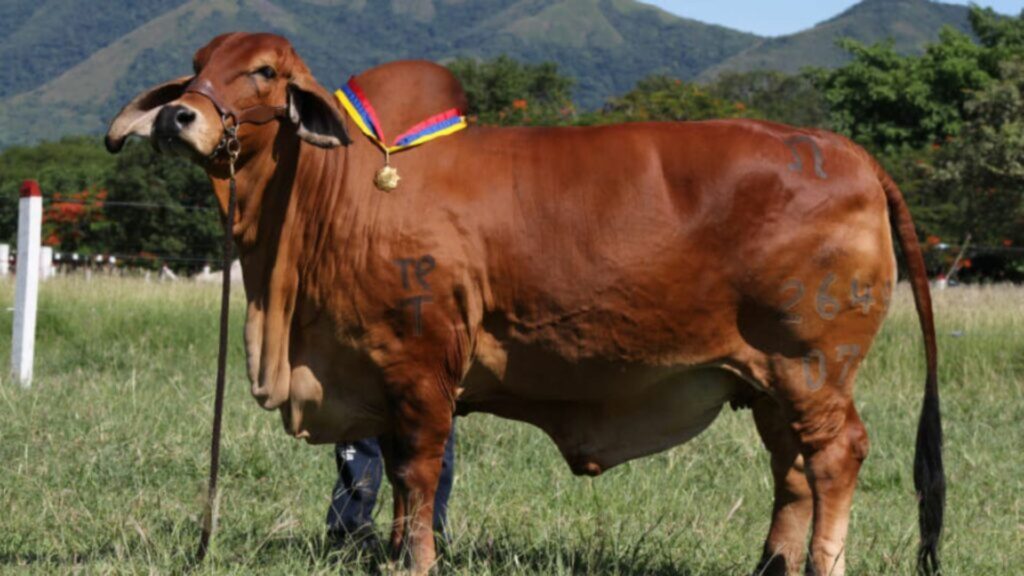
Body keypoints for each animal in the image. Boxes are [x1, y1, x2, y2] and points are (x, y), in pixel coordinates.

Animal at [106, 33, 943, 576]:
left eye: (264, 70)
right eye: (196, 68)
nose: (180, 116)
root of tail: (848, 152)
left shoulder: (419, 366)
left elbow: (416, 472)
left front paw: (415, 562)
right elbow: (400, 482)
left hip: (812, 369)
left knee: (836, 457)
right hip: (766, 381)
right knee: (791, 472)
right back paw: (772, 566)